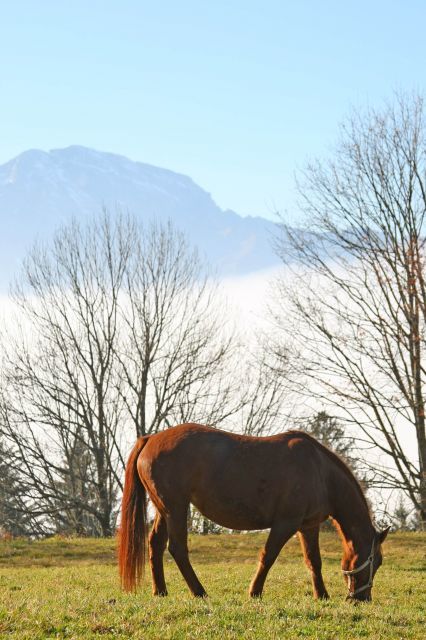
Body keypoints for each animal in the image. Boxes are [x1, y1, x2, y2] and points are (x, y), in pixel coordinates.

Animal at [117, 424, 390, 600]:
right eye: (376, 561)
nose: (362, 598)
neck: (320, 472)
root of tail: (151, 439)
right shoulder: (285, 524)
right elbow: (268, 556)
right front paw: (255, 592)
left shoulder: (308, 526)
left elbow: (314, 560)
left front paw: (321, 595)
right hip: (175, 507)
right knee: (177, 549)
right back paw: (199, 592)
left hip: (165, 509)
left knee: (156, 544)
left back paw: (161, 591)